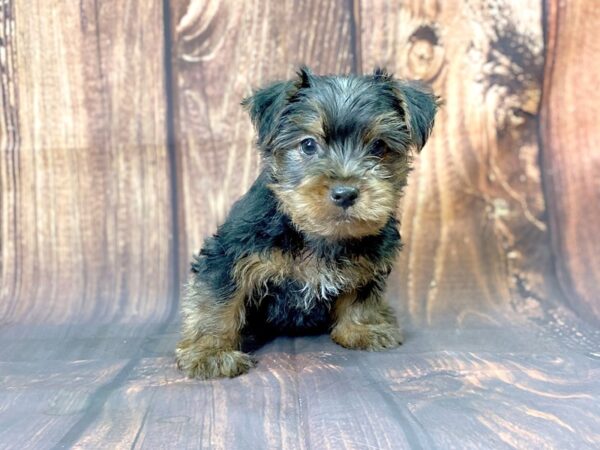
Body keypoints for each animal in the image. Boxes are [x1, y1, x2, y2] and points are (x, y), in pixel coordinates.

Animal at [176, 65, 438, 378]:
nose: (345, 193)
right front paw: (212, 351)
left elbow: (361, 292)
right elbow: (217, 301)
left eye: (378, 146)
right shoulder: (228, 254)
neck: (319, 234)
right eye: (309, 145)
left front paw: (361, 327)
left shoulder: (371, 258)